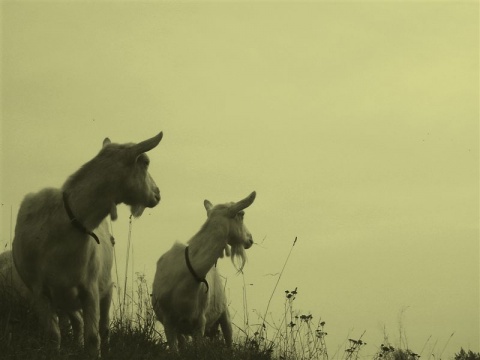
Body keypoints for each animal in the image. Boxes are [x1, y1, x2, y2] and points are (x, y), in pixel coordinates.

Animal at [12, 132, 163, 358]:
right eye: (145, 162)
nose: (157, 194)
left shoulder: (89, 288)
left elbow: (93, 337)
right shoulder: (41, 292)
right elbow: (53, 335)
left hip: (104, 288)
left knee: (103, 328)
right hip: (64, 297)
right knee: (77, 322)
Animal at [152, 191, 256, 352]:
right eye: (241, 214)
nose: (250, 239)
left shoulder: (199, 322)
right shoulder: (169, 322)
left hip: (223, 312)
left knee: (229, 340)